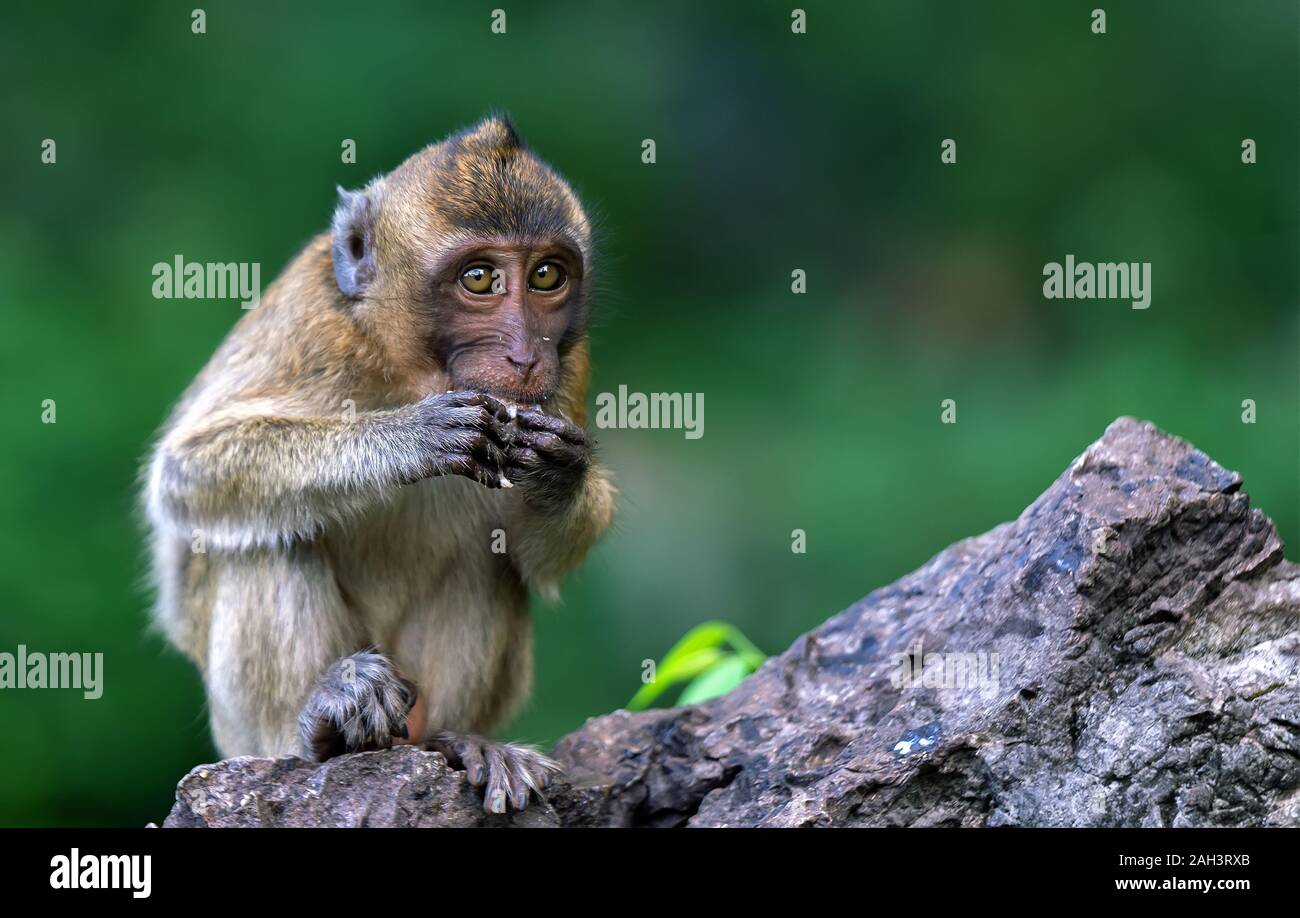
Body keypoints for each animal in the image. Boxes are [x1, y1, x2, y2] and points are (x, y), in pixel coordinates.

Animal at [143, 116, 615, 814]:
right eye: (480, 278)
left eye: (547, 275)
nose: (527, 356)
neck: (417, 367)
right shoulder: (310, 321)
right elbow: (185, 475)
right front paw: (410, 437)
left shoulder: (570, 365)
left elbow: (536, 559)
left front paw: (559, 472)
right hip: (243, 731)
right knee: (263, 544)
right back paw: (317, 727)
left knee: (488, 564)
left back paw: (458, 740)